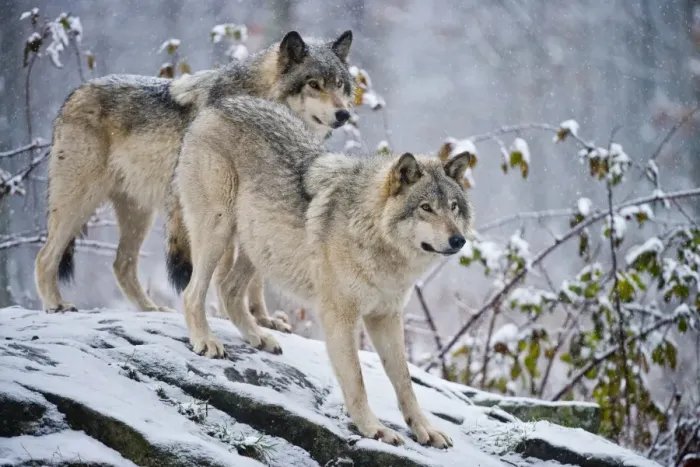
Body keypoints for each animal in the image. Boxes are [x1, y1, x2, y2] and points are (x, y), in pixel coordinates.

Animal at [34, 30, 354, 328]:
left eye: (339, 84)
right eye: (314, 84)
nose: (344, 114)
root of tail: (74, 94)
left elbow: (256, 278)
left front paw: (263, 321)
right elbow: (230, 276)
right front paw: (234, 317)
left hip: (140, 214)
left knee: (121, 264)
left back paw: (151, 310)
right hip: (80, 202)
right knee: (45, 256)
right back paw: (56, 305)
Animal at [173, 95, 474, 447]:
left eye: (453, 207)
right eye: (426, 208)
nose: (458, 240)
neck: (373, 236)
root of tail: (220, 105)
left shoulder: (386, 317)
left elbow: (404, 381)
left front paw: (424, 429)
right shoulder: (339, 316)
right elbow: (356, 379)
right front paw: (374, 429)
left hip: (258, 250)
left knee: (228, 290)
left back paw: (258, 337)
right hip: (217, 234)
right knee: (192, 293)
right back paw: (205, 341)